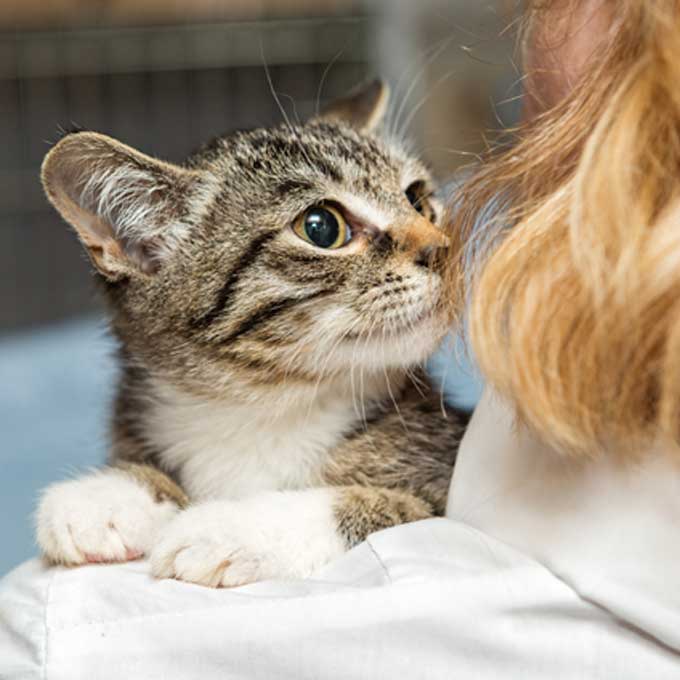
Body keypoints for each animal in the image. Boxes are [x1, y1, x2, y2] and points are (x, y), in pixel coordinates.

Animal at [35, 79, 468, 588]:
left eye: (418, 200)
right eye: (321, 227)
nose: (445, 248)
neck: (264, 409)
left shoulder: (444, 474)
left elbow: (396, 508)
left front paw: (232, 527)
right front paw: (112, 495)